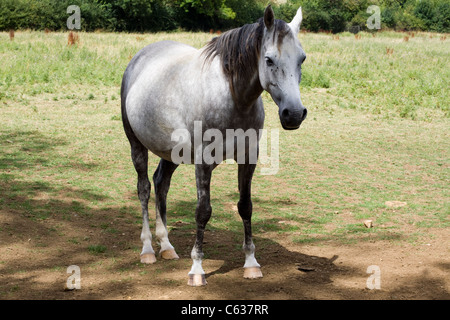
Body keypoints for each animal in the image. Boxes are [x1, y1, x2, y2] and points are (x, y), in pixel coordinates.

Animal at [121, 5, 308, 284]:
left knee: (161, 184)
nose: (294, 114)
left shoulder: (248, 158)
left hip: (171, 153)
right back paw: (147, 250)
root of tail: (139, 58)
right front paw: (197, 269)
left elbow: (245, 207)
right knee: (144, 188)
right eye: (269, 60)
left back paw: (166, 246)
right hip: (136, 145)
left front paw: (251, 263)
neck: (233, 97)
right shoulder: (203, 162)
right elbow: (203, 211)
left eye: (301, 59)